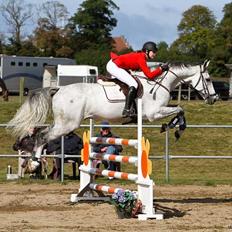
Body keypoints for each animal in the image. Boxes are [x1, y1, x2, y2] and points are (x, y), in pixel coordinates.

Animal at [7, 59, 218, 160]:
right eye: (208, 79)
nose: (214, 99)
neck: (160, 82)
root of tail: (58, 89)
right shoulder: (154, 113)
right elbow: (180, 109)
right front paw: (176, 128)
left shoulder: (158, 111)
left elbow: (180, 109)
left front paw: (171, 126)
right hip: (67, 124)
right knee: (44, 136)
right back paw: (35, 159)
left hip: (63, 122)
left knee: (41, 131)